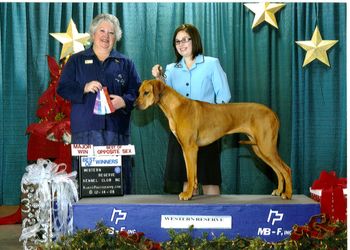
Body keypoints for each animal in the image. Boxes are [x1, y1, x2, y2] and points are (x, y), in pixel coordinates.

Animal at [135, 80, 292, 201]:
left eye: (146, 92)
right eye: (138, 92)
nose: (135, 105)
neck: (175, 106)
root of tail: (272, 113)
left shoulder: (191, 148)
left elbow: (190, 174)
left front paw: (187, 194)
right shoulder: (186, 149)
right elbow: (192, 173)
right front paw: (191, 192)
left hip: (266, 147)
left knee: (286, 169)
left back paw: (288, 194)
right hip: (259, 148)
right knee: (278, 170)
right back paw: (279, 191)